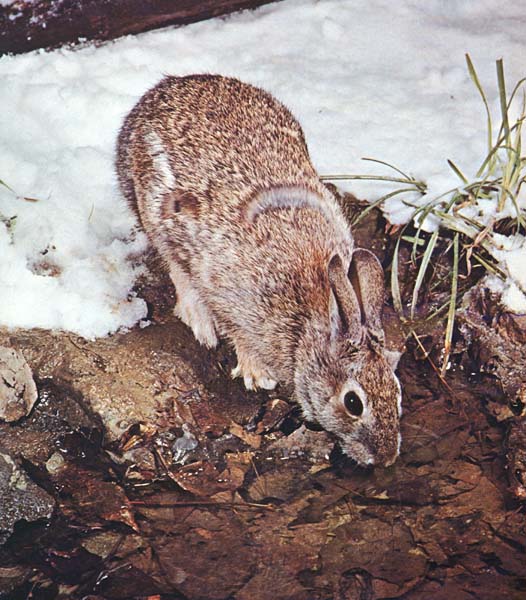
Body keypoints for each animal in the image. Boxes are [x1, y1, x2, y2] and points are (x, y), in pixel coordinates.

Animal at [116, 75, 404, 466]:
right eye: (353, 402)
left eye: (397, 389)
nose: (386, 458)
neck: (308, 326)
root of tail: (153, 97)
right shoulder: (231, 295)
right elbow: (237, 333)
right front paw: (257, 375)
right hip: (156, 215)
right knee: (176, 267)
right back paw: (200, 323)